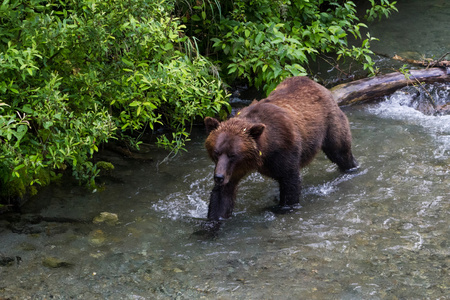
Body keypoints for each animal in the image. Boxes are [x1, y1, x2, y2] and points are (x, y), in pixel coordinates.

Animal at [205, 76, 358, 221]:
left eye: (233, 155)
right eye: (216, 152)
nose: (218, 177)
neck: (265, 151)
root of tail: (317, 84)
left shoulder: (285, 150)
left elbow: (290, 183)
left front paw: (282, 208)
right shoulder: (233, 169)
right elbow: (223, 196)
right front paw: (213, 222)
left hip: (330, 124)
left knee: (340, 152)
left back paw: (352, 168)